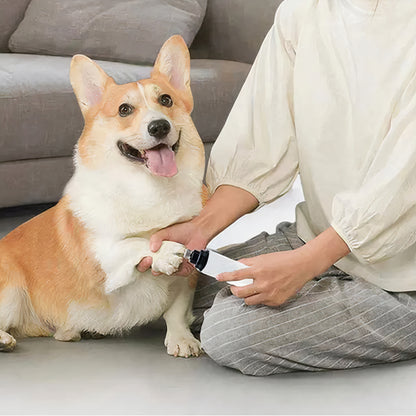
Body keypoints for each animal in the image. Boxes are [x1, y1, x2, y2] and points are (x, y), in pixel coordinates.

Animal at [0, 35, 206, 358]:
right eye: (124, 110)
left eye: (166, 100)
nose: (159, 126)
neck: (148, 189)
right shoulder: (101, 256)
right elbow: (132, 243)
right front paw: (162, 251)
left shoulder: (187, 279)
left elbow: (176, 310)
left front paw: (182, 339)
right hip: (10, 289)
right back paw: (4, 340)